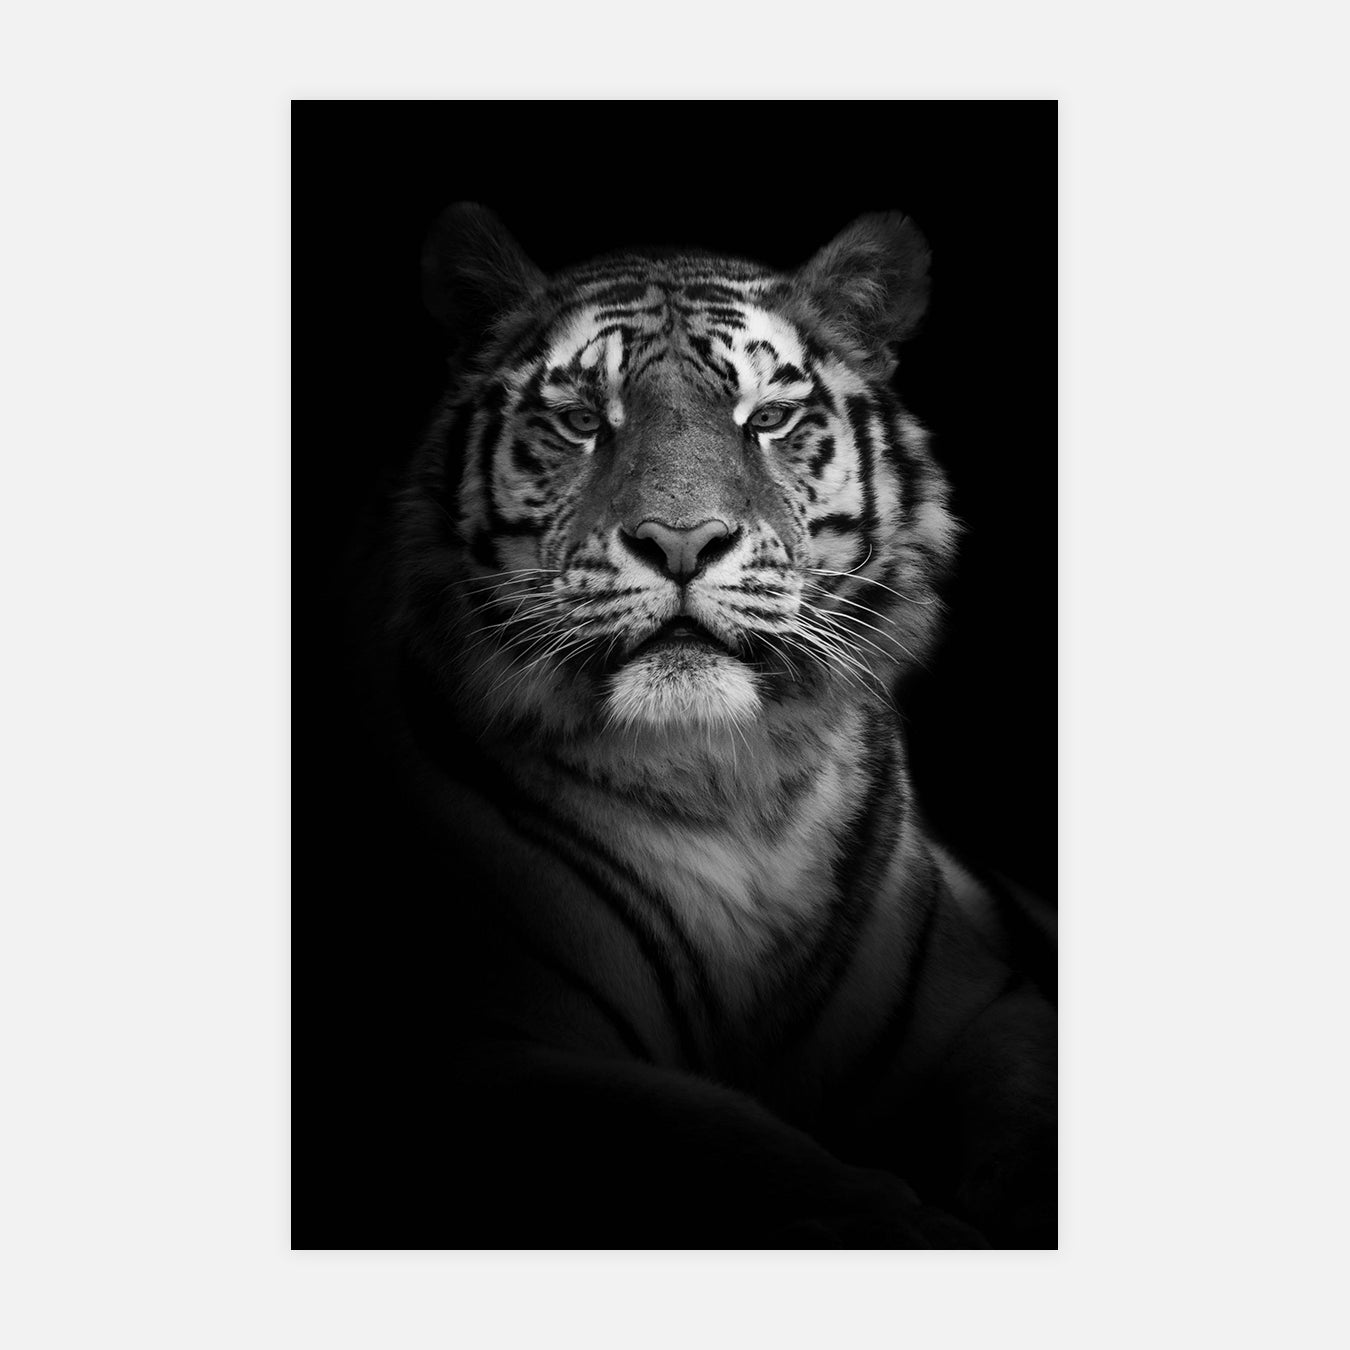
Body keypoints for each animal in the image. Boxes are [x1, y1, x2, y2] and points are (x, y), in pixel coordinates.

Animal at [361, 202, 1057, 1248]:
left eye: (766, 418)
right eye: (581, 421)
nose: (681, 541)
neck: (729, 786)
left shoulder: (989, 1000)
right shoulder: (489, 1046)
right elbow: (747, 1154)